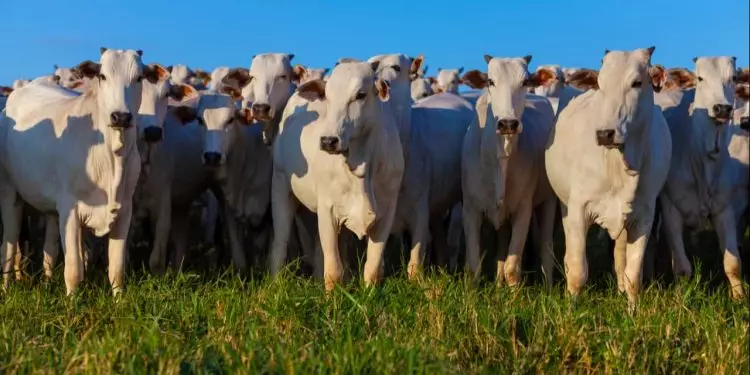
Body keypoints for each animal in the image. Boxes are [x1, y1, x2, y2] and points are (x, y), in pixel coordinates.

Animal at [0, 48, 156, 296]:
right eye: (102, 76)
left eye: (139, 78)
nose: (120, 116)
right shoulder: (70, 210)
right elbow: (74, 269)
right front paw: (72, 301)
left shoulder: (124, 211)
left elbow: (116, 269)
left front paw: (119, 300)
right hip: (9, 192)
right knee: (9, 245)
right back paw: (5, 289)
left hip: (51, 211)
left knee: (49, 250)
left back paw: (47, 282)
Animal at [272, 61, 406, 290]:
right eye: (327, 96)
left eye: (360, 95)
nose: (328, 141)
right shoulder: (328, 210)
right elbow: (334, 270)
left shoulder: (386, 212)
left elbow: (372, 266)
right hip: (281, 186)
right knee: (280, 242)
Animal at [462, 55, 560, 286]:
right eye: (490, 81)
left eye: (525, 82)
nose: (508, 123)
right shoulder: (470, 208)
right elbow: (474, 266)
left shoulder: (523, 209)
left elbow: (513, 268)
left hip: (548, 201)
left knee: (545, 247)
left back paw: (549, 287)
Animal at [548, 46, 676, 308]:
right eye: (600, 84)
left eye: (637, 83)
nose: (605, 133)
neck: (620, 168)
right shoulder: (578, 209)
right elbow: (578, 270)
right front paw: (571, 308)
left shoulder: (644, 216)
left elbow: (632, 274)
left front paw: (632, 310)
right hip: (565, 208)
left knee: (619, 258)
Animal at [664, 55, 748, 300]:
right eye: (700, 78)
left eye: (734, 78)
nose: (722, 108)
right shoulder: (670, 208)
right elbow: (682, 268)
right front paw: (681, 298)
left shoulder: (724, 209)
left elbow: (732, 263)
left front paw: (739, 298)